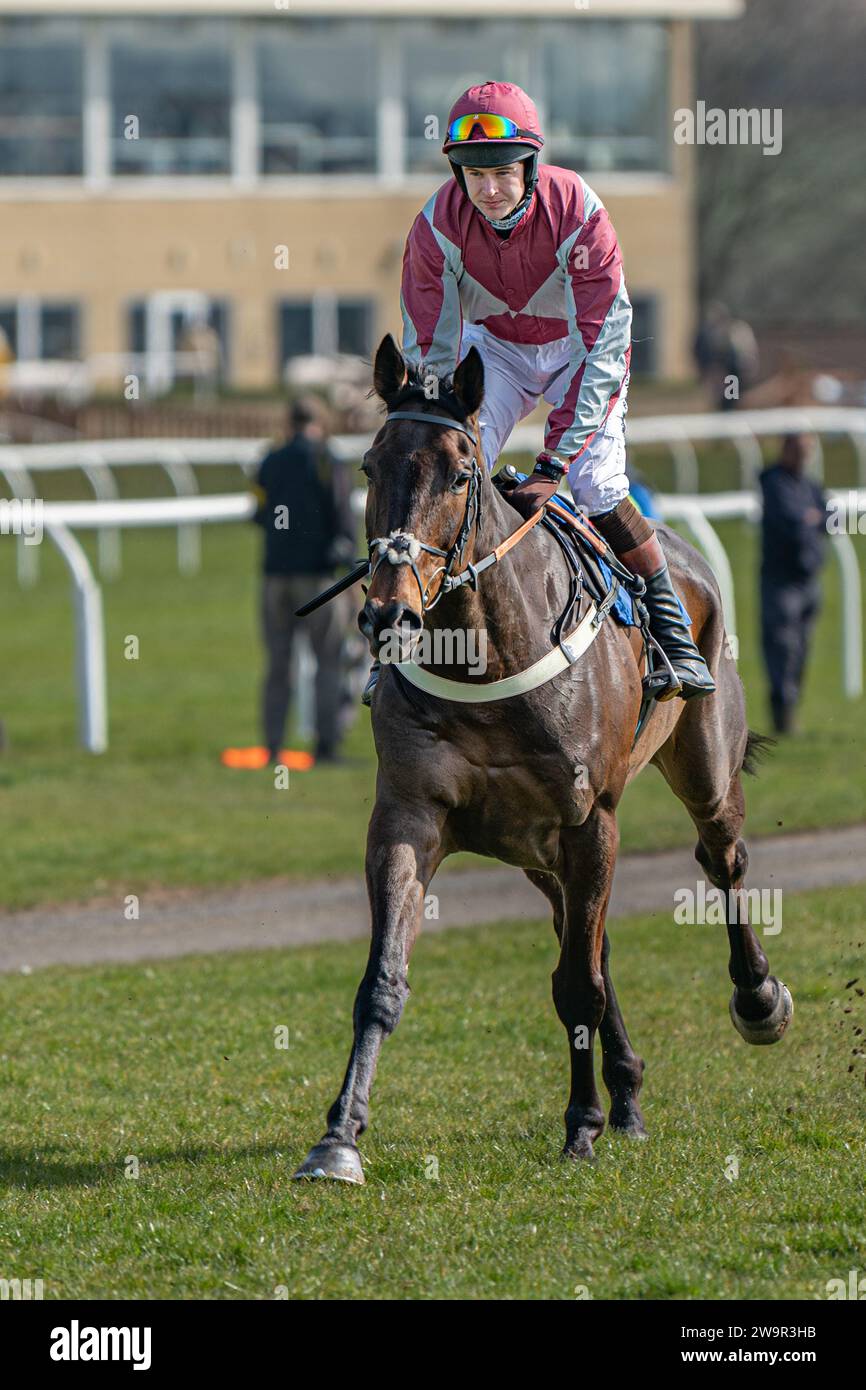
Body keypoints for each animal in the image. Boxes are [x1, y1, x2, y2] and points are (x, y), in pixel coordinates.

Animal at [296, 336, 795, 1184]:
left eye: (460, 473)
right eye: (368, 465)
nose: (389, 612)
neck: (484, 659)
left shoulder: (590, 818)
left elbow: (579, 987)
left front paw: (581, 1124)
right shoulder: (409, 814)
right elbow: (383, 981)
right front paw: (339, 1138)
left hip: (702, 766)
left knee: (721, 863)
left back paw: (756, 999)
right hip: (535, 849)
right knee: (586, 937)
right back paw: (627, 1092)